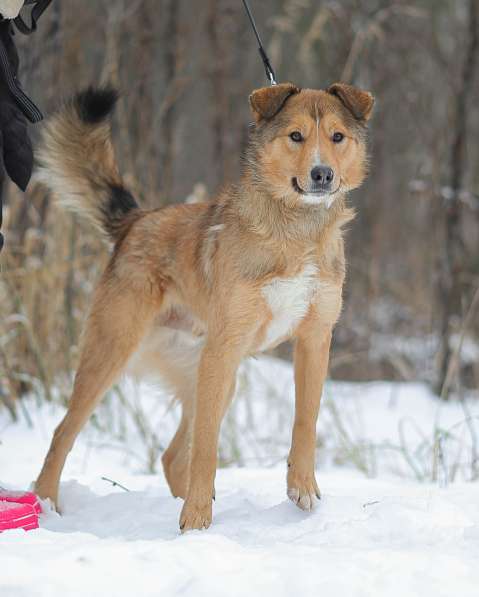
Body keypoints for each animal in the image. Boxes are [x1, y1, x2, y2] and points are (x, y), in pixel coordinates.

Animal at [34, 80, 376, 532]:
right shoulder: (226, 346)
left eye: (337, 137)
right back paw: (46, 504)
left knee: (170, 456)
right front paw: (196, 517)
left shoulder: (315, 340)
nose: (323, 174)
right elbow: (208, 447)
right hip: (117, 355)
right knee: (62, 434)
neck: (296, 229)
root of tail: (135, 223)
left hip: (211, 373)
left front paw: (302, 487)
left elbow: (305, 422)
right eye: (296, 136)